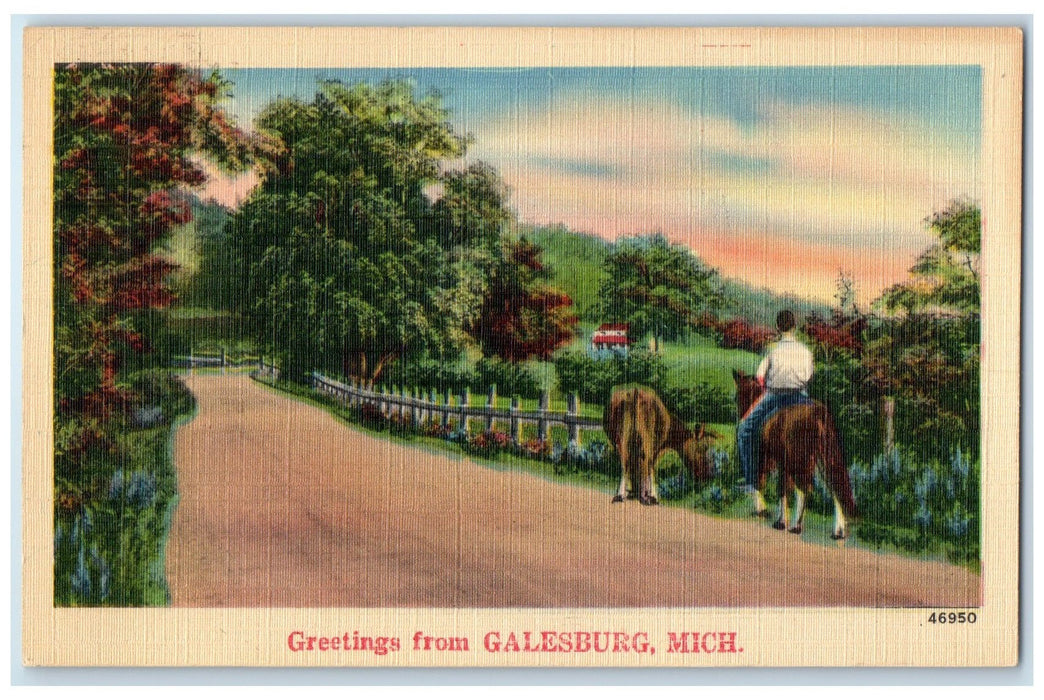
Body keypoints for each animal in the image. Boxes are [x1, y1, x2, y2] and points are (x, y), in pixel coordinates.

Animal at [734, 369, 856, 539]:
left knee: (805, 488)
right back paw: (838, 531)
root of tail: (818, 412)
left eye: (736, 397)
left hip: (800, 459)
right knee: (833, 487)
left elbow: (764, 482)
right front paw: (778, 518)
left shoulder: (764, 457)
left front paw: (766, 513)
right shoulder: (783, 462)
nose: (741, 416)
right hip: (819, 459)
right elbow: (783, 487)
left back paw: (797, 526)